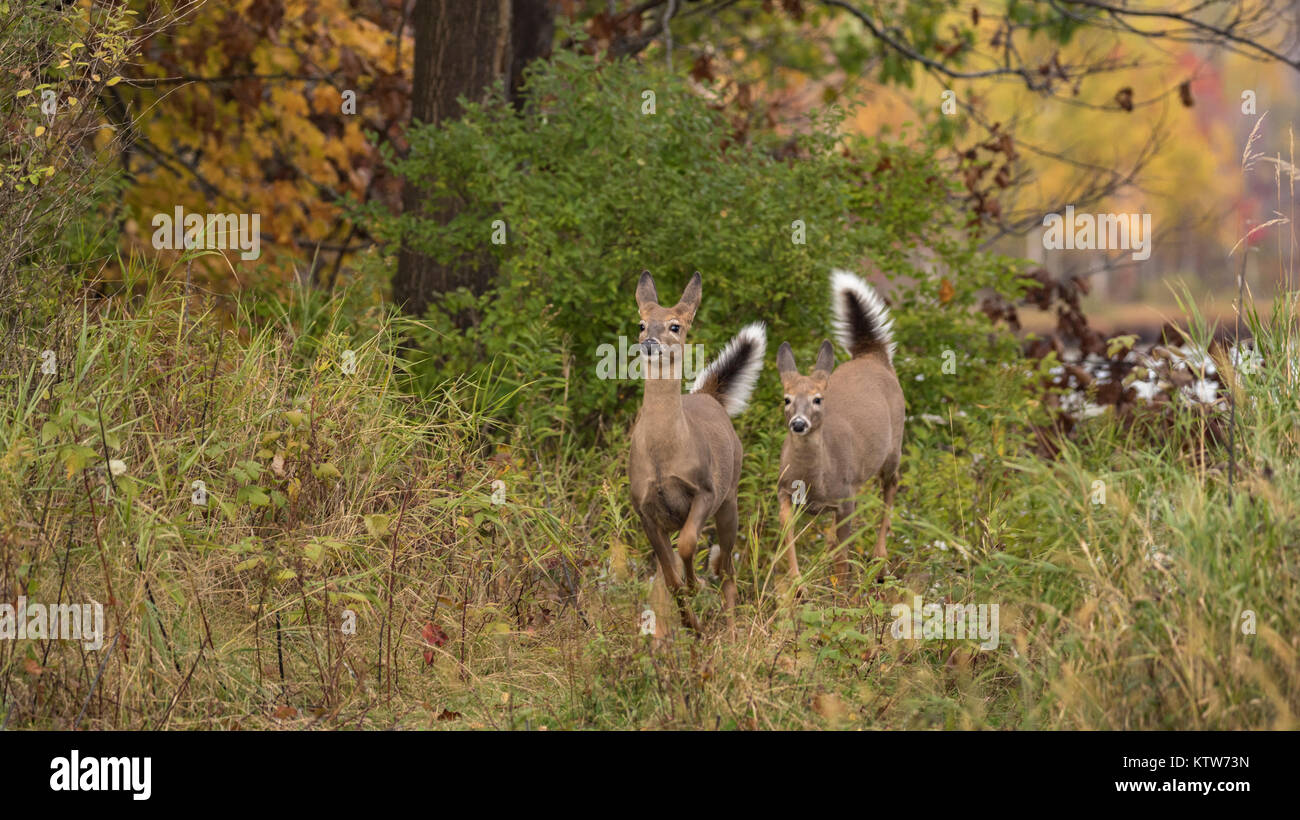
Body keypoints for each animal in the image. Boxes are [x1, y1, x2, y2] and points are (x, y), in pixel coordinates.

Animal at [626, 271, 764, 634]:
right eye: (641, 323)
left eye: (675, 325)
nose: (649, 343)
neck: (664, 456)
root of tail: (708, 395)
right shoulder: (644, 509)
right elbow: (669, 578)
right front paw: (693, 625)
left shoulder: (704, 489)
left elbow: (688, 544)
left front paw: (696, 586)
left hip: (730, 500)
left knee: (728, 569)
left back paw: (731, 632)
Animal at [769, 271, 904, 589]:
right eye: (786, 398)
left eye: (818, 399)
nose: (799, 424)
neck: (813, 482)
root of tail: (873, 355)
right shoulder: (783, 491)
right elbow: (788, 536)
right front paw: (797, 583)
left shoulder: (845, 498)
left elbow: (843, 561)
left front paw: (841, 595)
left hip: (894, 447)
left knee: (891, 486)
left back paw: (879, 559)